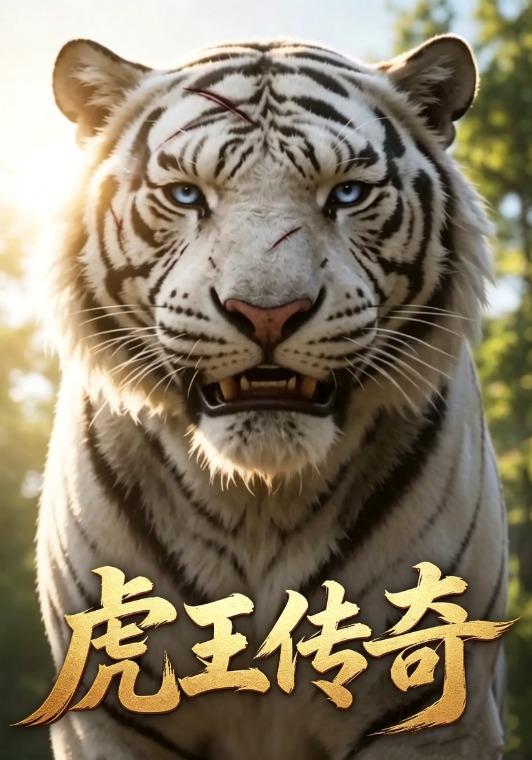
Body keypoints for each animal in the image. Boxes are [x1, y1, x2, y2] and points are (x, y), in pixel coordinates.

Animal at [32, 32, 508, 760]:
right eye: (186, 195)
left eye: (346, 193)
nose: (267, 314)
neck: (258, 502)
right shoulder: (104, 714)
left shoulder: (435, 711)